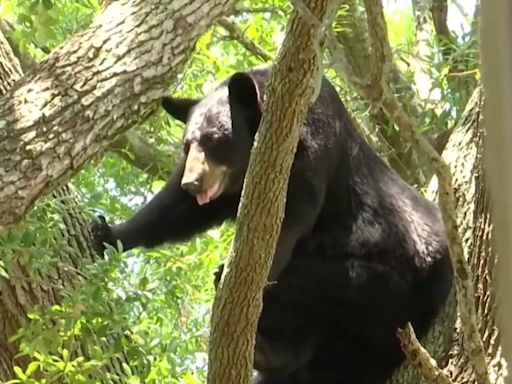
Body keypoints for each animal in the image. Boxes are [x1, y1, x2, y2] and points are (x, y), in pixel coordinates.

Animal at [92, 66, 452, 384]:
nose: (192, 183)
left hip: (395, 280)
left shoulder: (309, 147)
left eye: (214, 140)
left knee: (319, 285)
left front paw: (235, 271)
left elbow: (290, 217)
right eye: (187, 144)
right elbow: (176, 211)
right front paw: (108, 233)